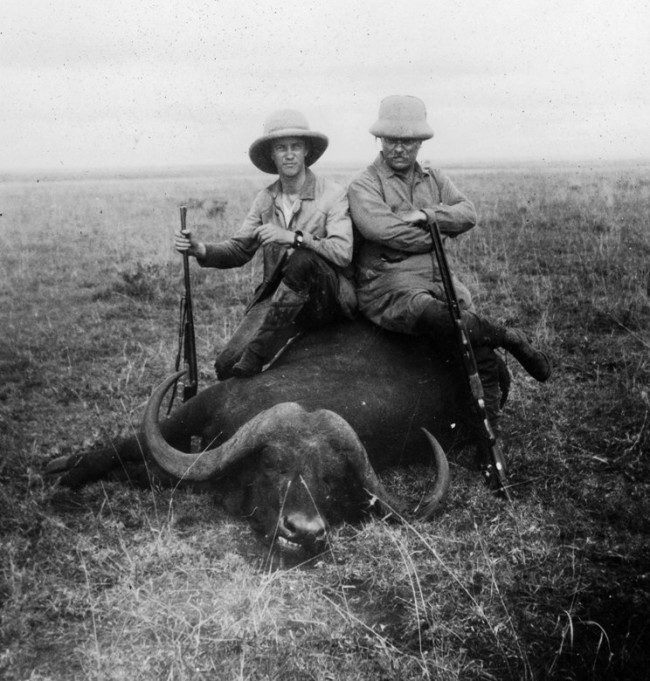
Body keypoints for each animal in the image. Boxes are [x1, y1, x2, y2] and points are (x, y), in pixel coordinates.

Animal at [46, 318, 506, 552]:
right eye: (272, 465)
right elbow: (123, 446)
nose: (303, 532)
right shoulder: (197, 409)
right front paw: (68, 474)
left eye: (330, 479)